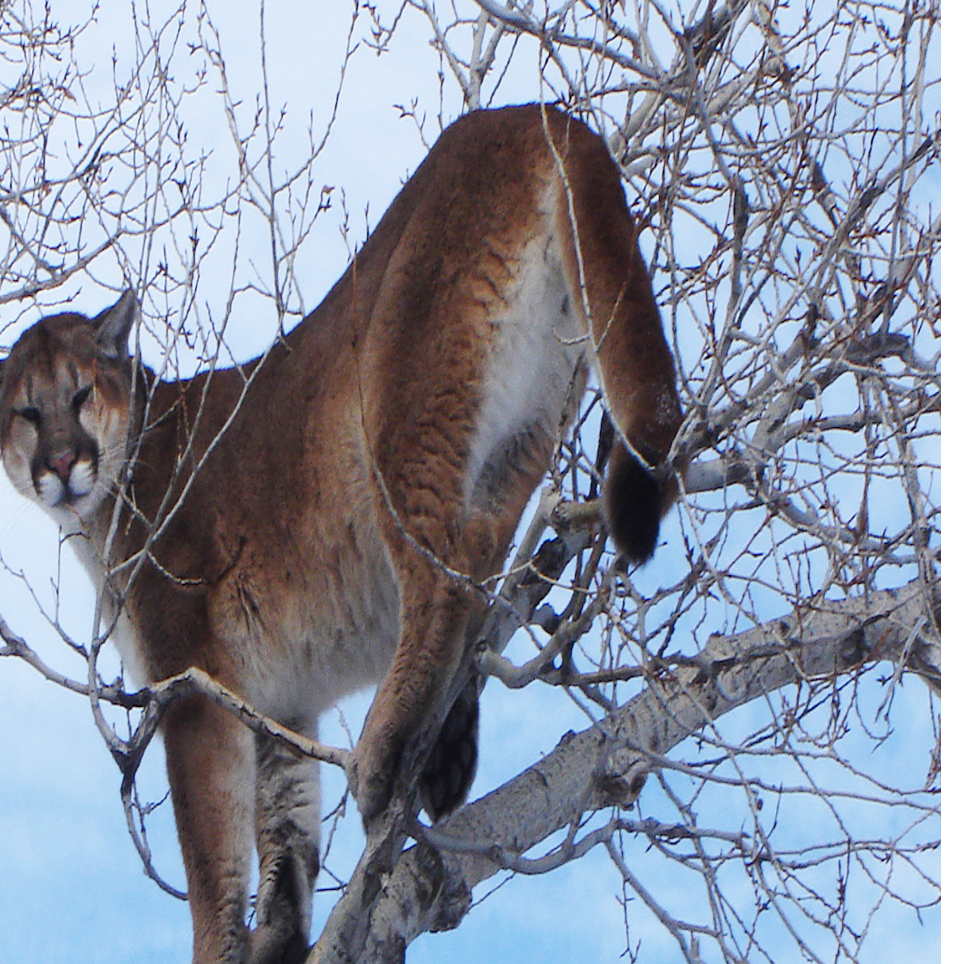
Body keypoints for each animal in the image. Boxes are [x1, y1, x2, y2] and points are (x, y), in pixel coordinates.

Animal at [0, 101, 684, 960]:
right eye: (26, 411)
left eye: (81, 394)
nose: (61, 462)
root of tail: (533, 112)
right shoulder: (279, 702)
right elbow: (283, 822)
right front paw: (279, 936)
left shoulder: (192, 684)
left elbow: (210, 852)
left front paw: (218, 946)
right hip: (533, 416)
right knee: (485, 552)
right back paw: (446, 745)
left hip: (398, 396)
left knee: (445, 565)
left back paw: (389, 753)